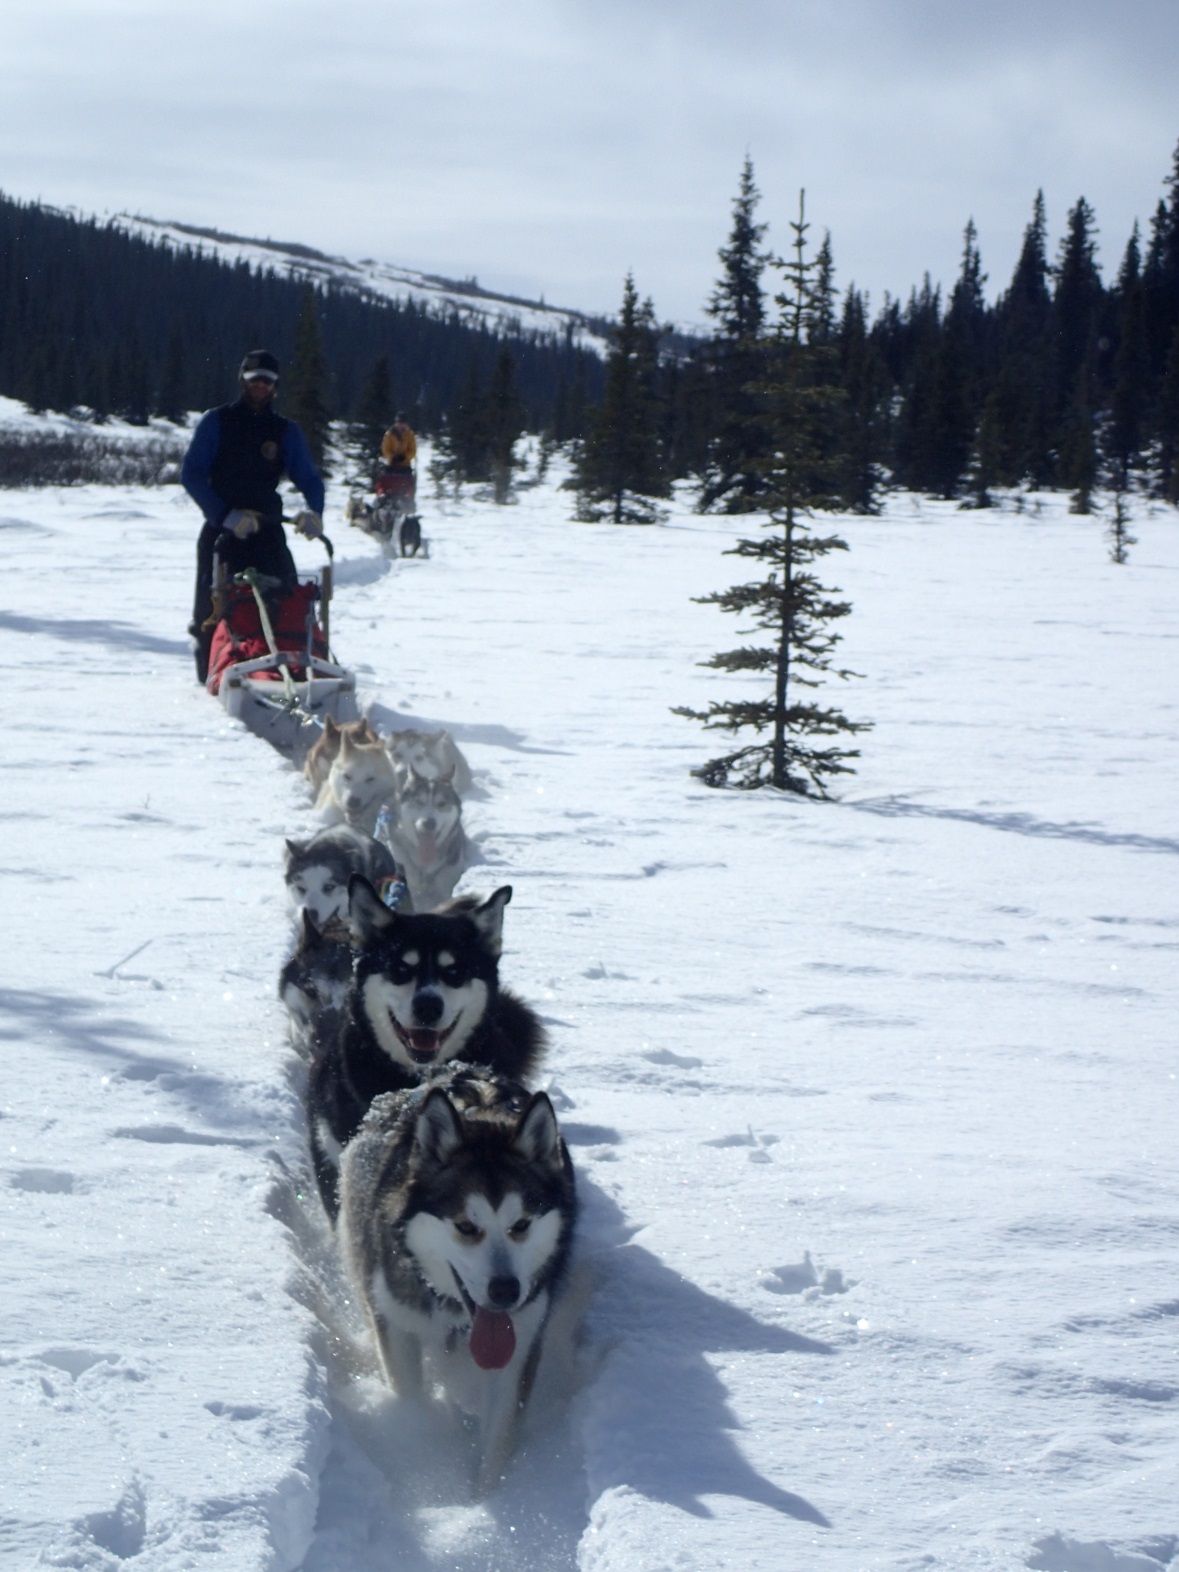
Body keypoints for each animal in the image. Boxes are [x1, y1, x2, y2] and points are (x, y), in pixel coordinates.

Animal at [339, 1062, 578, 1490]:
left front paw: (486, 1500)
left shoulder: (521, 1342)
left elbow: (498, 1440)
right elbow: (407, 1392)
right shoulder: (395, 1321)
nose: (506, 1291)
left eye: (521, 1224)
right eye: (466, 1227)